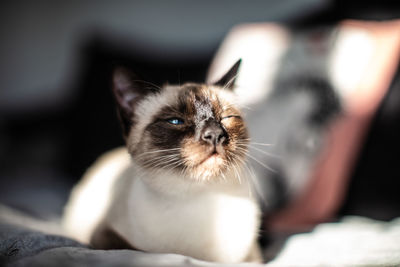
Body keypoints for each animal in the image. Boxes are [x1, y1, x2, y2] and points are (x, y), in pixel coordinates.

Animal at [61, 60, 262, 264]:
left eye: (226, 118)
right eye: (175, 121)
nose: (214, 134)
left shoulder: (253, 257)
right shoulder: (103, 235)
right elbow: (131, 248)